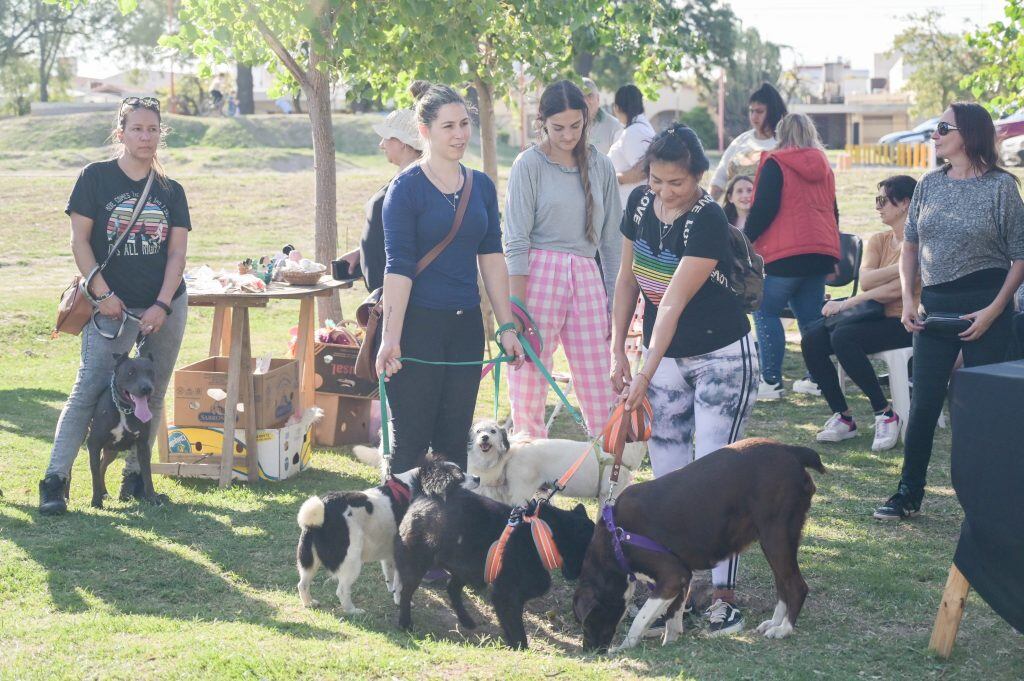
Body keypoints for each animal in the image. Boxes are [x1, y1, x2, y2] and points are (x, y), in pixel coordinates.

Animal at [292, 458, 475, 614]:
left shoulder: (391, 554)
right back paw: (353, 611)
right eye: (460, 476)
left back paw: (309, 603)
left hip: (308, 561)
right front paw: (402, 602)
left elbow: (392, 578)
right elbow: (401, 584)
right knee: (342, 590)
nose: (478, 478)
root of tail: (323, 509)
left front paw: (394, 596)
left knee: (302, 584)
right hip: (351, 560)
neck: (416, 486)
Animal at [395, 454, 598, 647]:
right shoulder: (505, 595)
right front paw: (520, 649)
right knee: (406, 593)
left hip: (467, 567)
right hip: (418, 565)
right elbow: (517, 630)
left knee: (452, 588)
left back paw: (466, 620)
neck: (540, 534)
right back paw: (405, 623)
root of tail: (422, 494)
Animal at [577, 438, 823, 651]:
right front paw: (670, 641)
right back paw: (774, 622)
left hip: (776, 536)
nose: (591, 651)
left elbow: (641, 617)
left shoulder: (672, 575)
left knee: (797, 586)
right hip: (772, 540)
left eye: (588, 621)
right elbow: (673, 616)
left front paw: (623, 648)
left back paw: (784, 629)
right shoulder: (682, 576)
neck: (615, 539)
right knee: (783, 584)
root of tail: (791, 450)